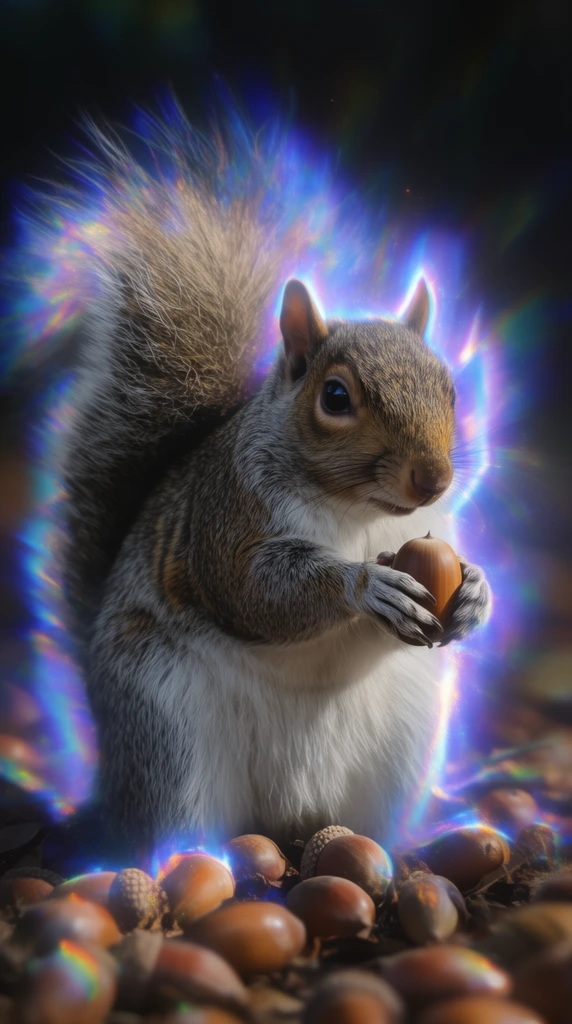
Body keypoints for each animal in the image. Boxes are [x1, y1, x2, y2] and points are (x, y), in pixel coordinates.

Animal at [56, 110, 492, 855]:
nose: (432, 477)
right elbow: (255, 590)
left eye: (450, 388)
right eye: (336, 396)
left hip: (399, 744)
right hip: (168, 727)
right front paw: (364, 585)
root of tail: (288, 814)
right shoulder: (228, 517)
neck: (362, 512)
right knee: (174, 817)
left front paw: (476, 594)